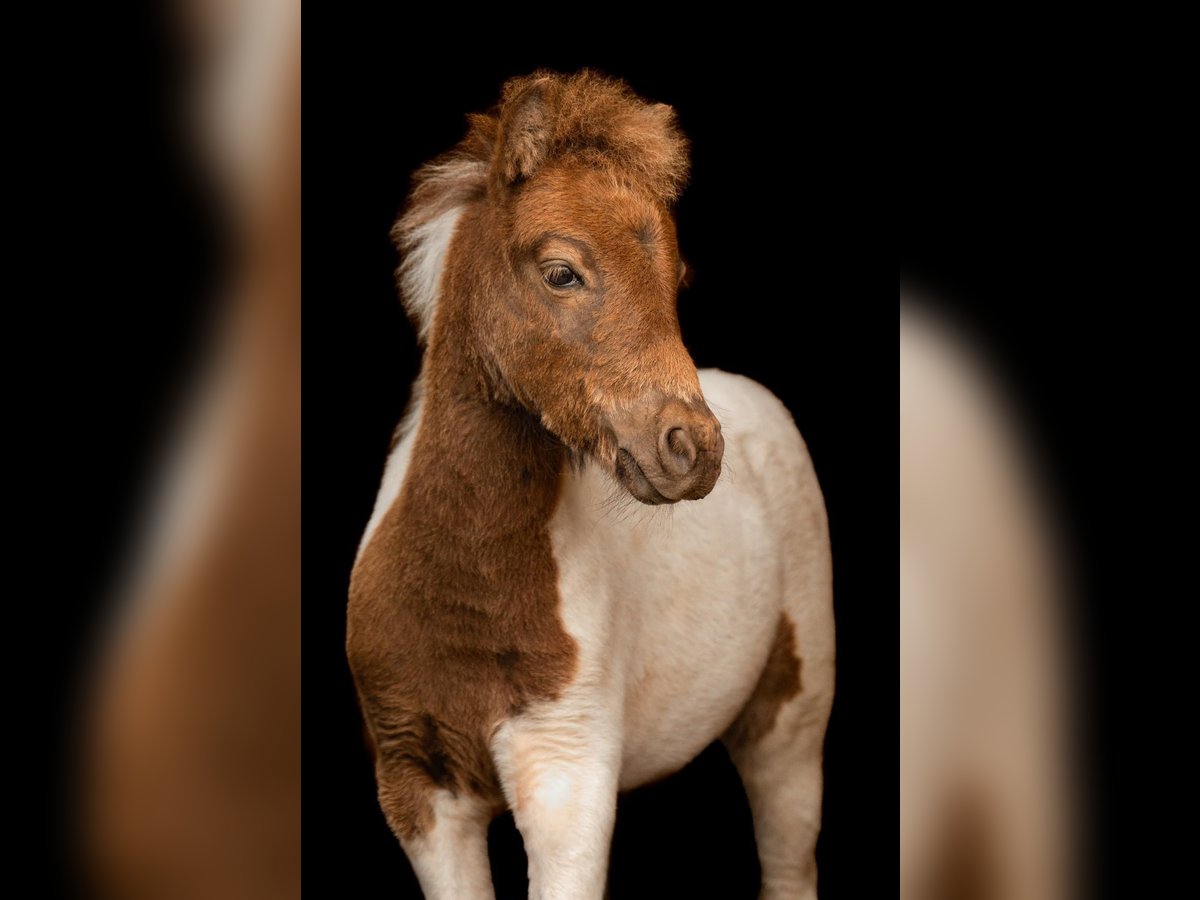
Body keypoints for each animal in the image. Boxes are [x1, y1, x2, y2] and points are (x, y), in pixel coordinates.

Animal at [348, 72, 835, 900]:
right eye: (561, 272)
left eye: (675, 280)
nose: (692, 449)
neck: (459, 593)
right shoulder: (416, 788)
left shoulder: (566, 775)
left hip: (792, 726)